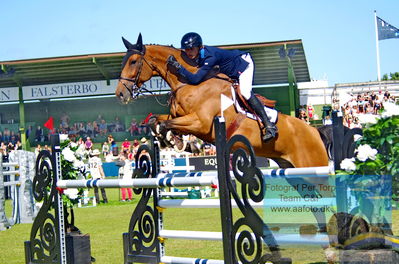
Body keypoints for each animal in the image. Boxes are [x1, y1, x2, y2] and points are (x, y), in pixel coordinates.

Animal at [115, 34, 328, 168]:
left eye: (133, 61)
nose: (120, 94)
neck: (190, 84)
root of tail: (316, 132)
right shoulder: (179, 116)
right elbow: (157, 121)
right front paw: (174, 141)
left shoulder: (201, 122)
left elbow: (166, 124)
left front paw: (175, 141)